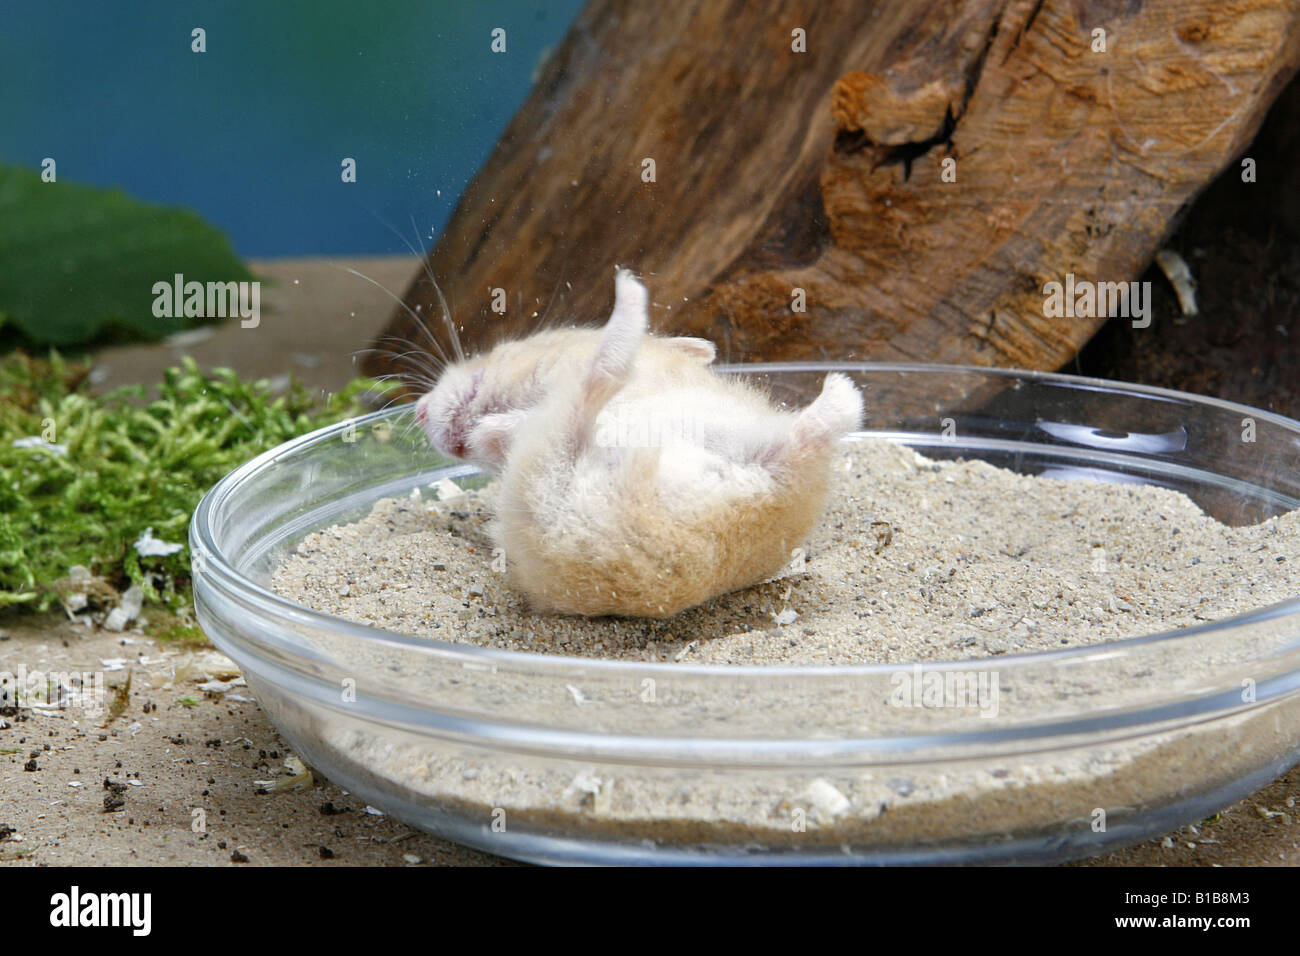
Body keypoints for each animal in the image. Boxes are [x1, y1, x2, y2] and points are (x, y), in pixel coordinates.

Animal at [414, 269, 864, 618]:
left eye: (506, 349)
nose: (418, 410)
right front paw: (486, 434)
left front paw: (487, 430)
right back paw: (841, 387)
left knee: (601, 377)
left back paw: (627, 290)